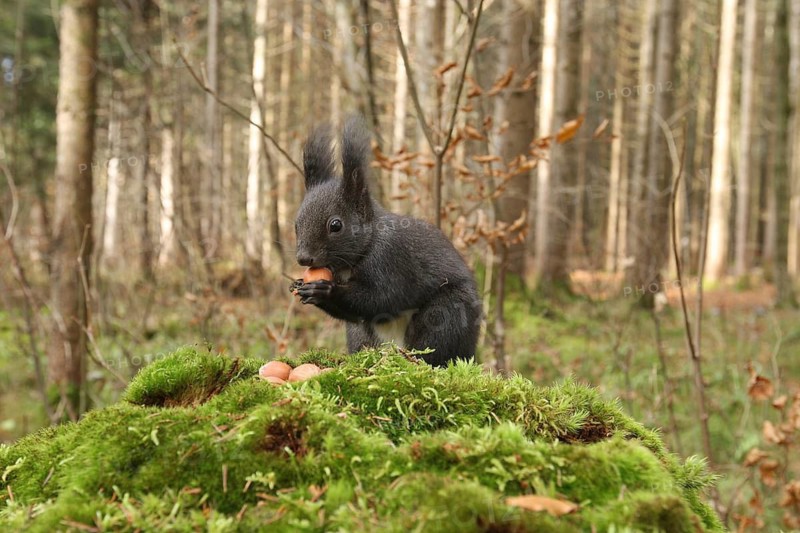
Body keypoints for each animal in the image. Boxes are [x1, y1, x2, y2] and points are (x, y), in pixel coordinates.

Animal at [293, 117, 482, 367]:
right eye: (296, 224)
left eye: (335, 225)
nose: (304, 258)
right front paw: (298, 285)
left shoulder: (392, 259)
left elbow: (381, 299)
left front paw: (325, 291)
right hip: (359, 334)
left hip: (446, 316)